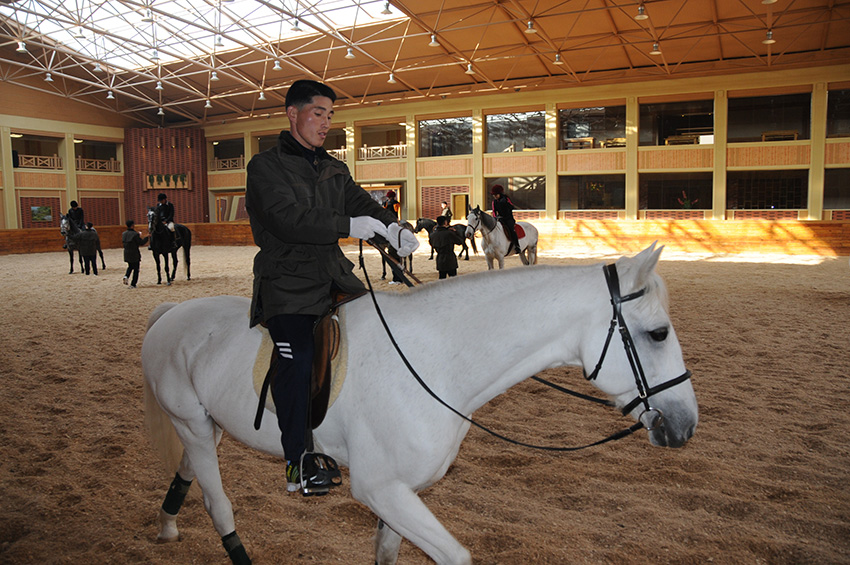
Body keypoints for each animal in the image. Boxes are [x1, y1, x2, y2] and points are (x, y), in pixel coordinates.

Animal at [141, 243, 696, 564]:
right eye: (658, 333)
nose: (685, 424)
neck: (438, 361)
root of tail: (171, 314)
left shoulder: (401, 493)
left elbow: (387, 554)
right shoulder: (380, 489)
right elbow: (456, 557)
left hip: (209, 425)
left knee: (187, 472)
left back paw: (166, 525)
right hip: (192, 424)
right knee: (218, 503)